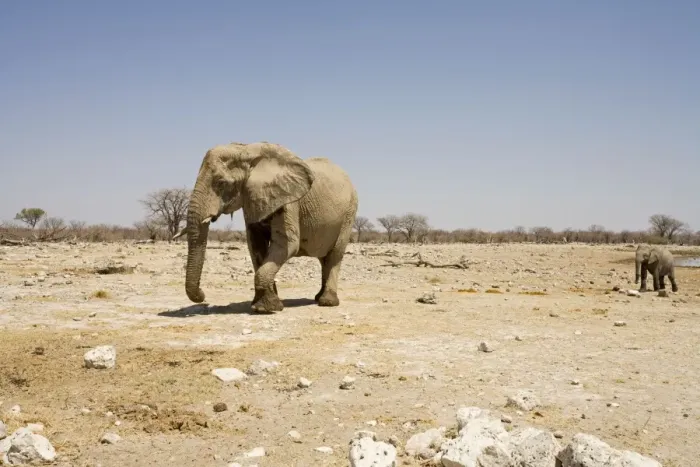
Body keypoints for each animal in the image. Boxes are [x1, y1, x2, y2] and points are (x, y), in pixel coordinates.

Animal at [175, 141, 358, 313]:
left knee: (335, 254)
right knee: (323, 258)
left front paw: (265, 309)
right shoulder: (252, 199)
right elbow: (255, 245)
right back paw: (318, 297)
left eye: (221, 183)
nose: (203, 296)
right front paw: (262, 306)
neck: (248, 152)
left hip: (349, 213)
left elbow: (287, 244)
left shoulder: (288, 201)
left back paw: (327, 302)